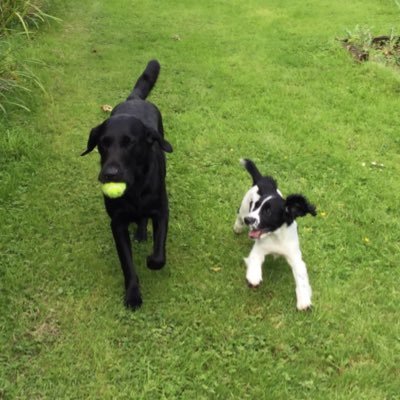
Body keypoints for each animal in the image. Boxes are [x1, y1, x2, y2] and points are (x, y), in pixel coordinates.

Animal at [82, 60, 173, 310]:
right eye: (102, 144)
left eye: (129, 143)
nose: (109, 174)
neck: (135, 188)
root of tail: (135, 99)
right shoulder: (118, 223)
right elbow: (127, 264)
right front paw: (133, 294)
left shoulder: (161, 211)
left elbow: (159, 255)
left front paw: (151, 259)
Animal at [234, 158, 316, 310]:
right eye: (255, 206)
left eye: (268, 212)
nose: (249, 220)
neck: (276, 236)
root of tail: (262, 181)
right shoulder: (259, 248)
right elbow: (255, 260)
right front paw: (254, 277)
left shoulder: (295, 257)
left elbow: (301, 277)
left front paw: (304, 301)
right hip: (244, 207)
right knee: (239, 215)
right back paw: (237, 227)